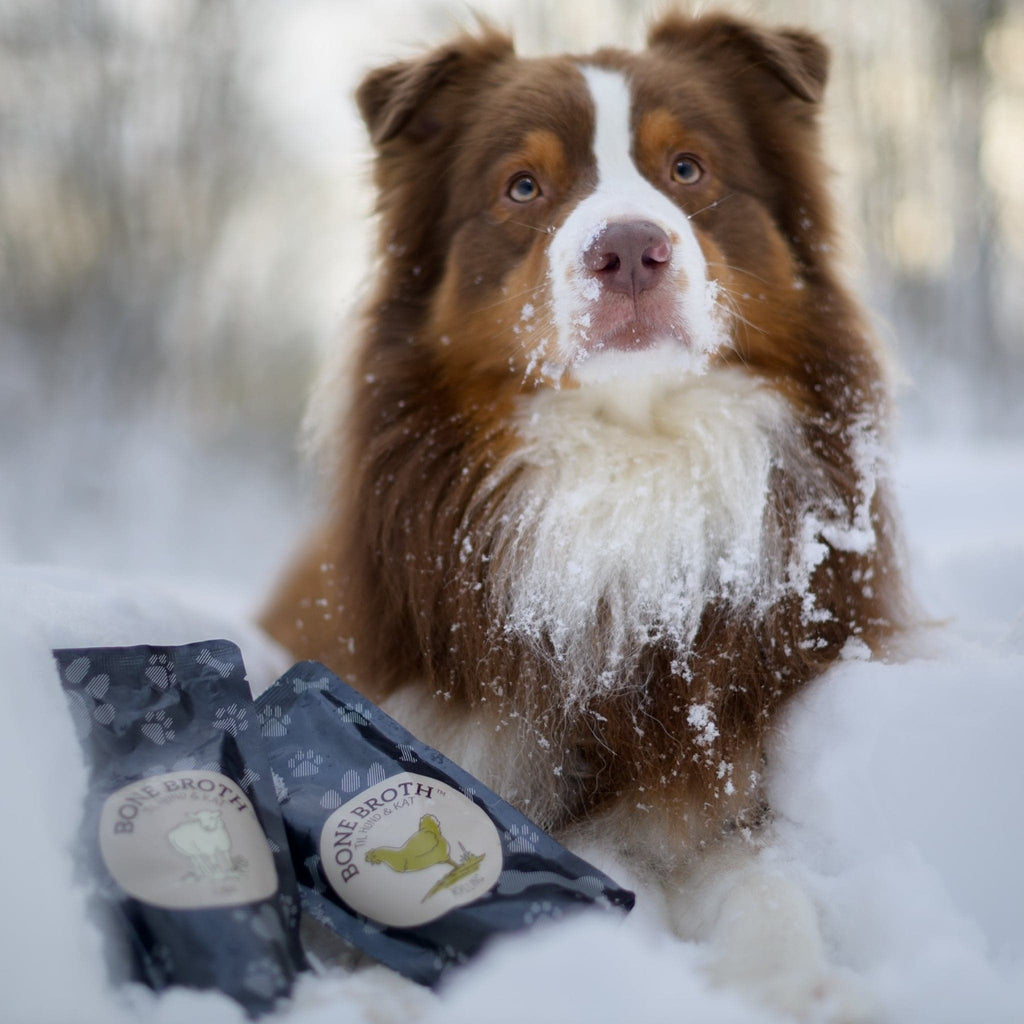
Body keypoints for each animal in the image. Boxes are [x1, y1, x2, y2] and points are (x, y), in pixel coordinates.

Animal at [262, 12, 905, 1019]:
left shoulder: (716, 765)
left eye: (688, 168)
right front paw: (375, 996)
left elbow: (768, 885)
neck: (626, 457)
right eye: (523, 185)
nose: (631, 250)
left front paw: (799, 986)